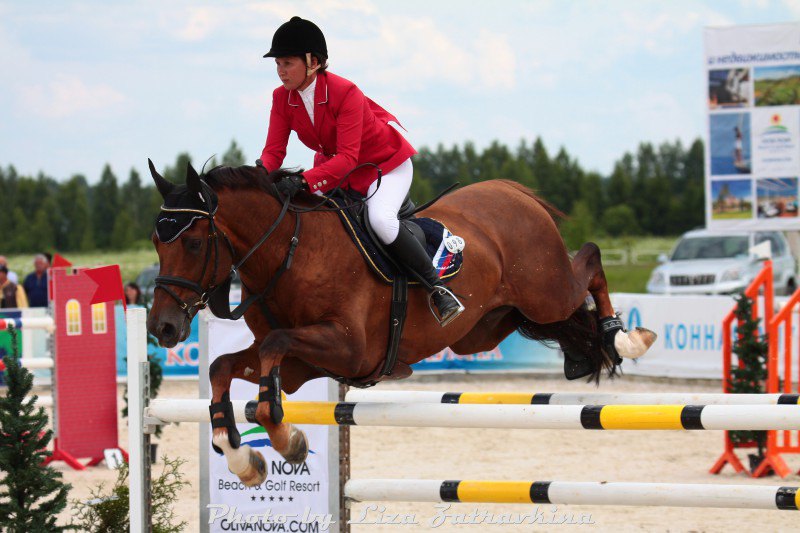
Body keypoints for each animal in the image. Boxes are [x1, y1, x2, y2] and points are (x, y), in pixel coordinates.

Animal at [145, 162, 656, 486]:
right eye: (155, 241)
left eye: (193, 243)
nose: (162, 329)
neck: (289, 254)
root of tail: (511, 191)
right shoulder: (300, 366)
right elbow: (224, 367)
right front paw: (240, 457)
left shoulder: (346, 348)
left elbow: (273, 351)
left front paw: (288, 442)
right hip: (488, 325)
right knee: (562, 317)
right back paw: (585, 352)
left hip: (546, 290)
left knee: (590, 261)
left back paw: (625, 337)